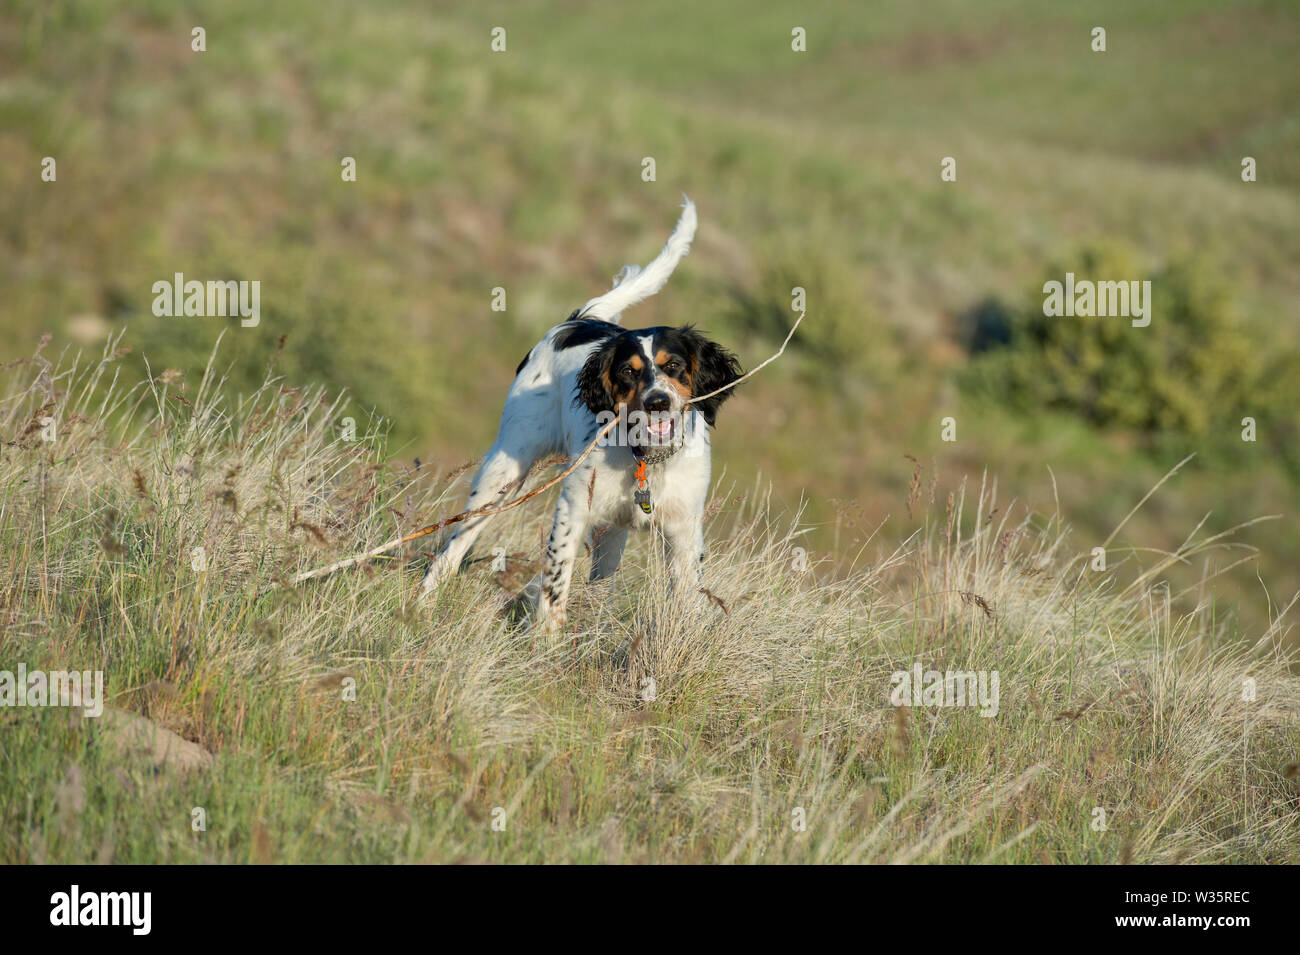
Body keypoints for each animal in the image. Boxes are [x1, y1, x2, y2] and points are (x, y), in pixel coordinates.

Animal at [418, 200, 743, 634]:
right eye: (627, 371)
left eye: (673, 365)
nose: (657, 401)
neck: (646, 459)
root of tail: (580, 318)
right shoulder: (573, 510)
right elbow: (555, 586)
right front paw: (545, 642)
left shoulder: (684, 530)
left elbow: (686, 598)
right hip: (504, 474)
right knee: (454, 547)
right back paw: (423, 602)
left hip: (611, 530)